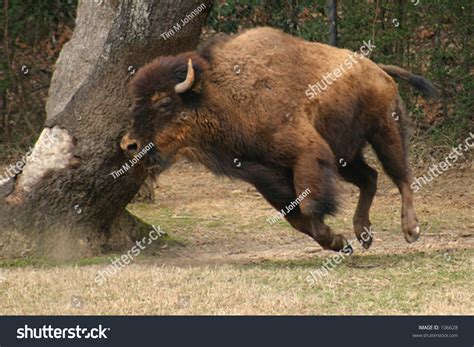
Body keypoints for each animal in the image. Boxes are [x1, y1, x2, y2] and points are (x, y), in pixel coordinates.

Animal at [121, 27, 436, 254]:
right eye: (135, 103)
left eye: (164, 103)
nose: (129, 145)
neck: (220, 93)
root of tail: (377, 69)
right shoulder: (266, 176)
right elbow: (295, 218)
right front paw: (340, 243)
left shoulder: (306, 153)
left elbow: (309, 206)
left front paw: (337, 241)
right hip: (346, 156)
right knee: (370, 178)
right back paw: (364, 234)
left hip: (385, 132)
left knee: (401, 176)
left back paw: (411, 230)